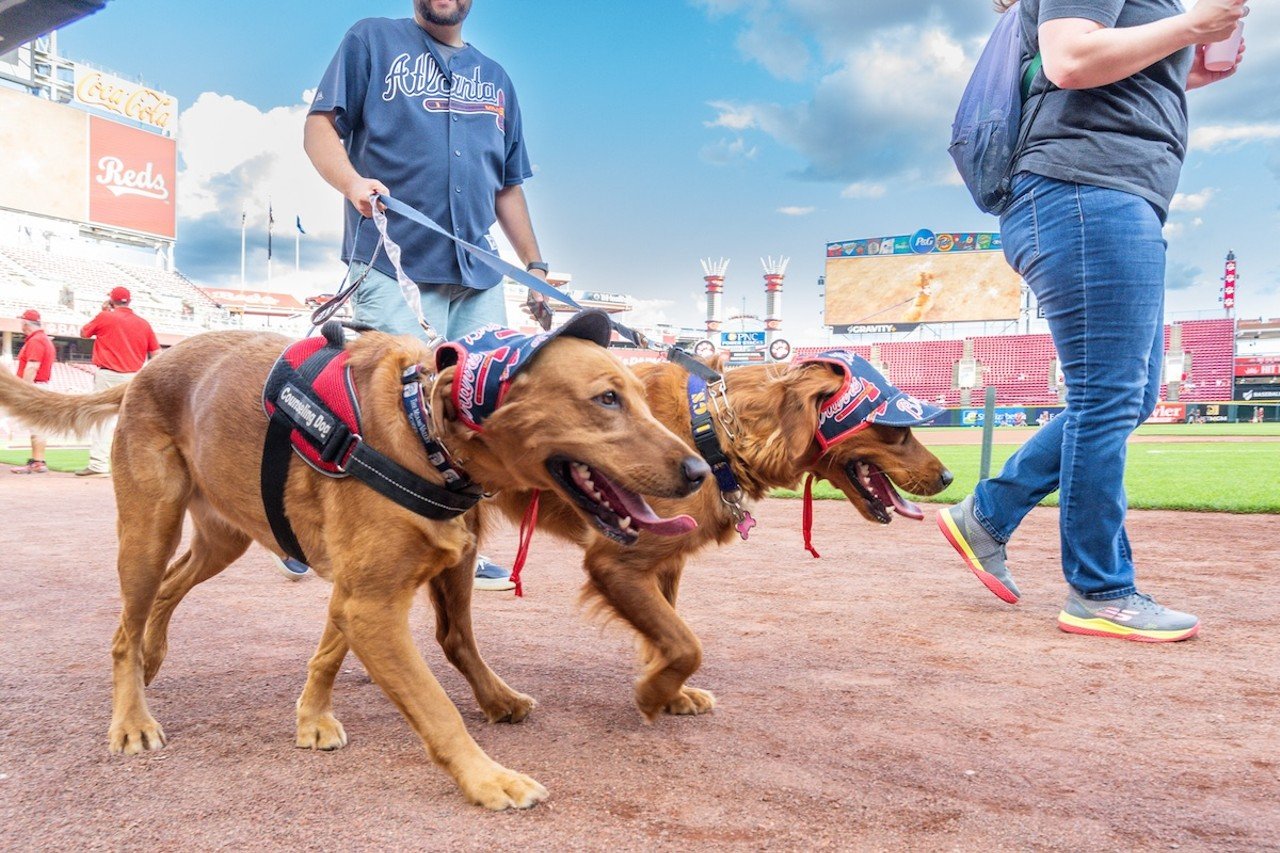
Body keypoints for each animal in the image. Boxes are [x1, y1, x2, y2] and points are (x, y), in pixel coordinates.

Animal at [0, 315, 711, 809]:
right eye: (607, 399)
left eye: (645, 397)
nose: (699, 470)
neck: (425, 430)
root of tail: (147, 369)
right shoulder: (371, 601)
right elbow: (436, 707)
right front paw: (489, 780)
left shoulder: (360, 593)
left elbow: (329, 653)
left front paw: (312, 719)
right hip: (148, 528)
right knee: (124, 624)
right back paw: (132, 717)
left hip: (222, 535)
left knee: (167, 592)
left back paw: (153, 658)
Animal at [488, 350, 952, 717]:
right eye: (899, 431)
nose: (949, 477)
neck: (710, 432)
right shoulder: (615, 562)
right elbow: (687, 645)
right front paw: (653, 693)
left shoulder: (665, 562)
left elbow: (670, 636)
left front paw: (673, 694)